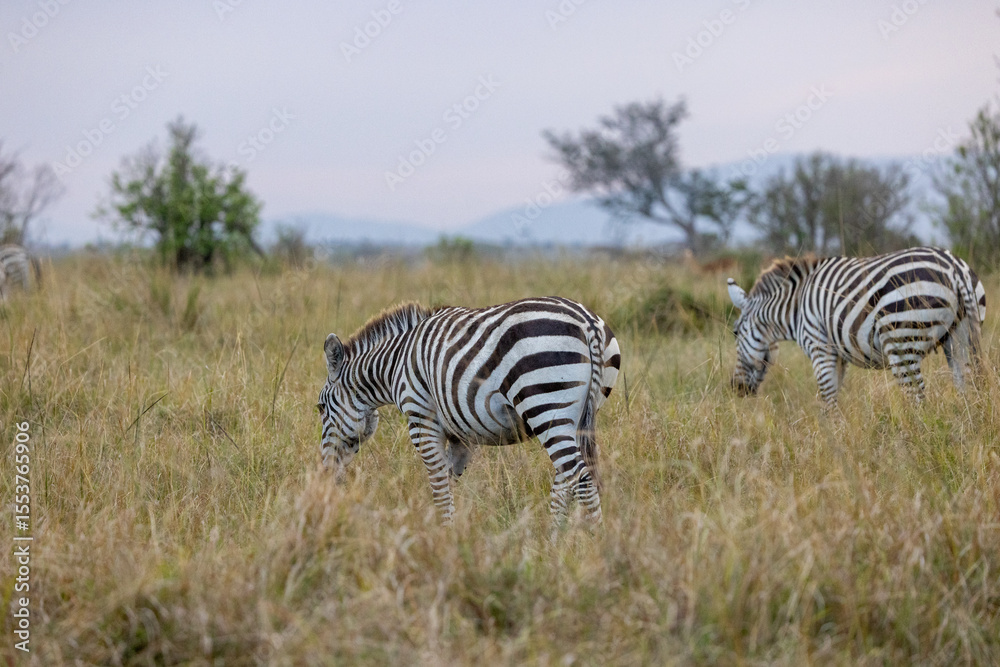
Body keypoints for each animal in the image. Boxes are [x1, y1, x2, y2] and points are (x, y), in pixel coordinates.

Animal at [317, 296, 621, 525]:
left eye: (319, 408)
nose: (326, 475)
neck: (394, 365)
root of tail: (588, 323)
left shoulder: (420, 418)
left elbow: (438, 482)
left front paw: (442, 537)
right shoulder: (460, 434)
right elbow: (449, 481)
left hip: (546, 408)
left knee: (582, 480)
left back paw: (594, 545)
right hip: (574, 417)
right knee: (564, 482)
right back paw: (553, 546)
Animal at [726, 246, 986, 407]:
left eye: (735, 333)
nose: (736, 389)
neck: (796, 307)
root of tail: (955, 269)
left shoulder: (818, 346)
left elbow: (828, 399)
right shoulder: (837, 354)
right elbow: (832, 399)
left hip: (902, 344)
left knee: (917, 399)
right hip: (959, 337)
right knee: (965, 385)